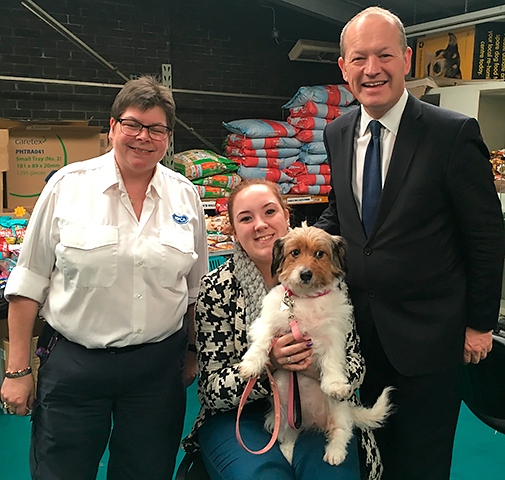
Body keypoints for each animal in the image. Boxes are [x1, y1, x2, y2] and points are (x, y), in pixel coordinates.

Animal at [238, 224, 392, 464]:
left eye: (320, 254)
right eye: (295, 252)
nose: (305, 274)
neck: (305, 299)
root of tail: (310, 421)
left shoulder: (334, 336)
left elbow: (332, 361)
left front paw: (335, 384)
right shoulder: (269, 322)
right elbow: (261, 342)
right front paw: (251, 365)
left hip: (339, 411)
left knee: (342, 432)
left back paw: (335, 452)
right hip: (284, 414)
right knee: (288, 436)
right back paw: (287, 452)